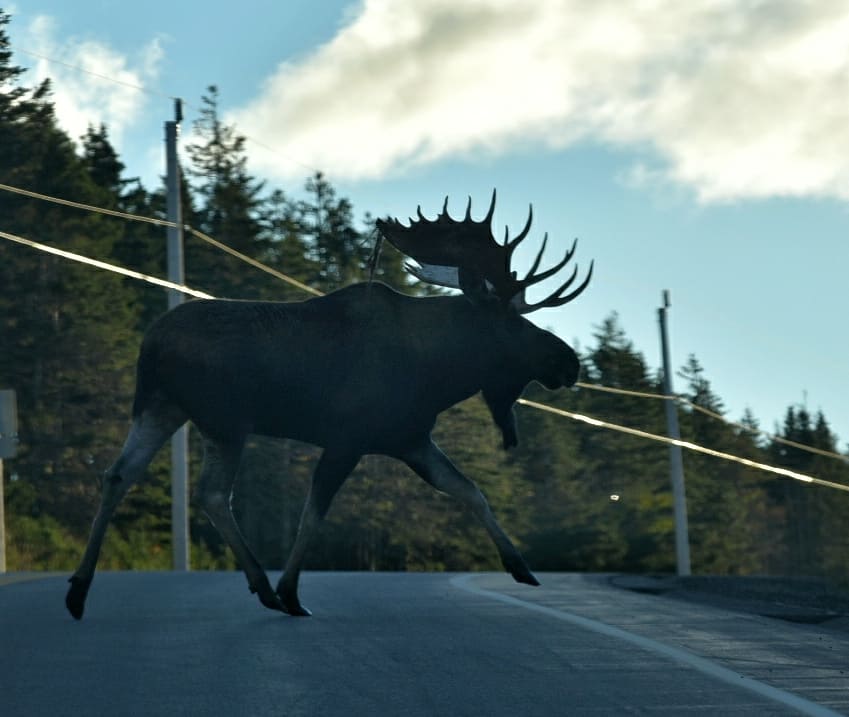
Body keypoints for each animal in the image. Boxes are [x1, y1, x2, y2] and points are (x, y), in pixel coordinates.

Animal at [64, 190, 588, 616]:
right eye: (514, 323)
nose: (570, 362)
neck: (437, 372)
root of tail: (150, 344)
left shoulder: (411, 439)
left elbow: (468, 489)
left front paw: (521, 566)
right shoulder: (347, 439)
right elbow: (313, 513)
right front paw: (292, 591)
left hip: (160, 407)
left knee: (118, 475)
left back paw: (79, 589)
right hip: (225, 421)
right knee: (211, 493)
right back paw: (265, 588)